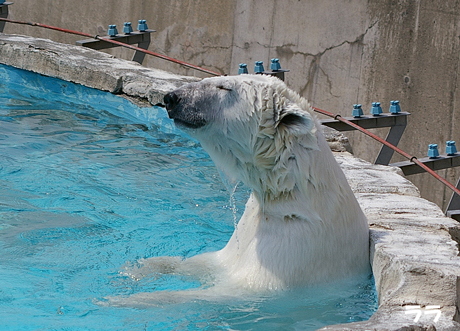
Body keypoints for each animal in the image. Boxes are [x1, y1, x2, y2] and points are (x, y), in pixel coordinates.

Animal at [119, 75, 370, 304]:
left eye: (224, 87)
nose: (172, 98)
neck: (290, 193)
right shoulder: (248, 227)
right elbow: (213, 261)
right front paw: (142, 266)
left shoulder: (294, 249)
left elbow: (227, 293)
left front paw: (126, 299)